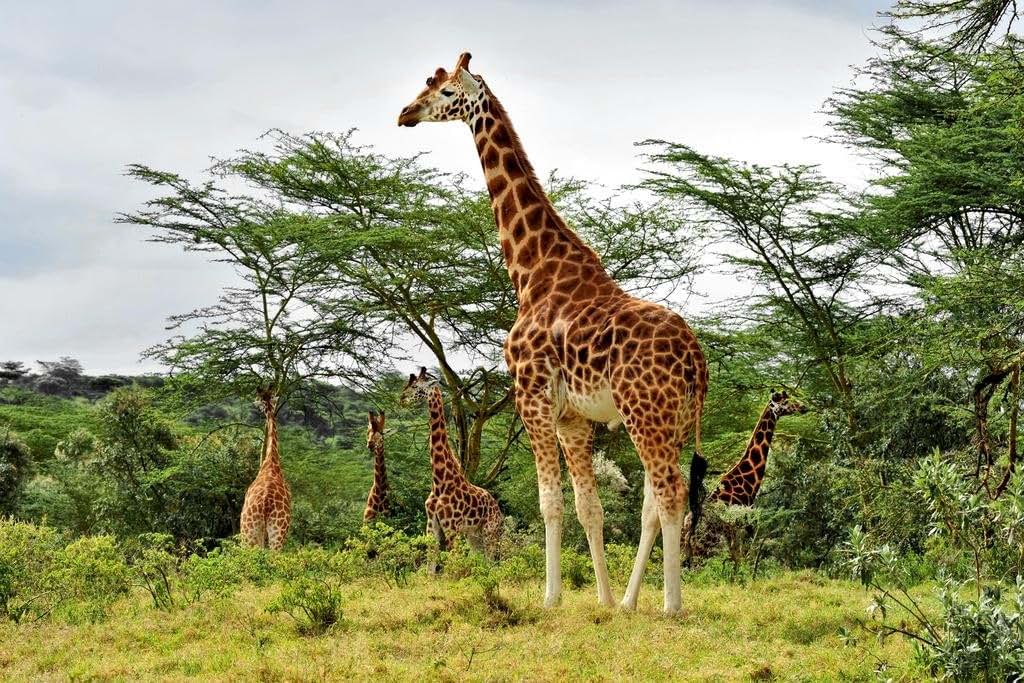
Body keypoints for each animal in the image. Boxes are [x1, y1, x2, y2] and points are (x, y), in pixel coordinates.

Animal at [400, 368, 504, 557]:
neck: (439, 482)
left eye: (417, 386)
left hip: (490, 533)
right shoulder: (431, 529)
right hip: (474, 535)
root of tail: (498, 509)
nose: (402, 399)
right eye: (407, 384)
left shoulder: (451, 529)